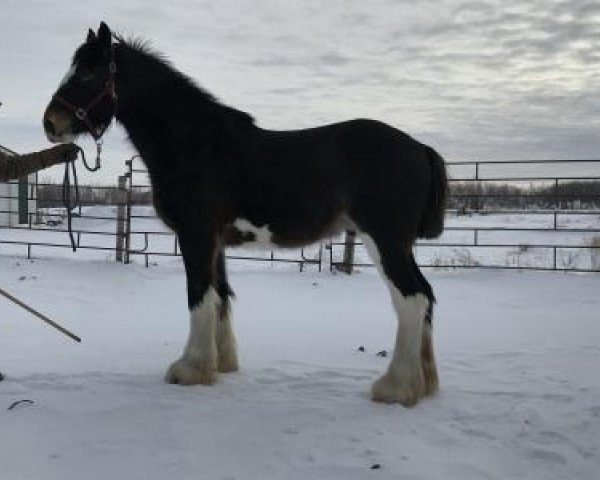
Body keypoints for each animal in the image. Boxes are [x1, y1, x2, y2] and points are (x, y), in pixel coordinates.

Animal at [43, 21, 446, 404]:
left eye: (88, 75)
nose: (50, 123)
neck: (193, 142)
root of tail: (419, 148)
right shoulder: (216, 241)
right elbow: (221, 294)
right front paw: (220, 364)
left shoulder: (195, 234)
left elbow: (198, 295)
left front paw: (189, 369)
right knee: (425, 295)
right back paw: (423, 384)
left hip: (384, 239)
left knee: (411, 299)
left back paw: (395, 388)